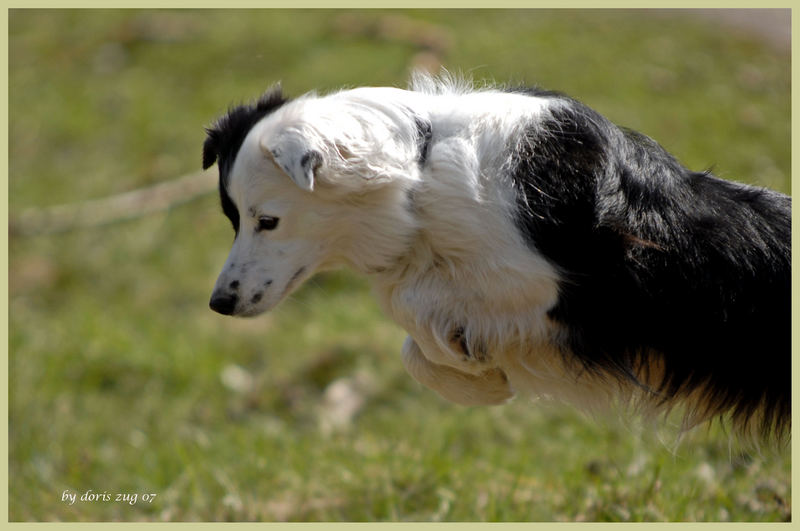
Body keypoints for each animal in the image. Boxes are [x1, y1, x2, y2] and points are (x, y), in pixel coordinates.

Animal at [203, 74, 792, 440]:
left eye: (268, 221)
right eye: (231, 220)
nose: (219, 304)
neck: (420, 171)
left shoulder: (575, 292)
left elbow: (410, 304)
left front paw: (471, 360)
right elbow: (414, 349)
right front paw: (482, 380)